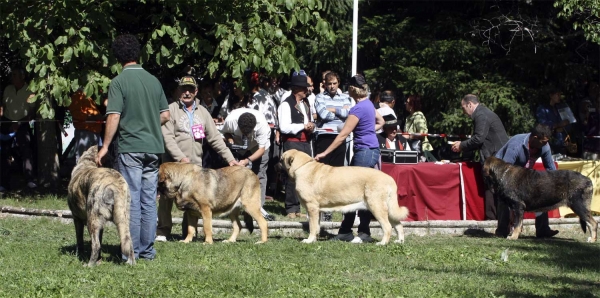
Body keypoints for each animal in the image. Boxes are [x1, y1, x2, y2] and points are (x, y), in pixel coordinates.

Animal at [278, 149, 410, 244]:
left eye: (281, 160)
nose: (275, 163)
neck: (302, 167)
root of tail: (390, 178)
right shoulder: (317, 210)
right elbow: (317, 226)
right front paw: (314, 240)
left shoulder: (312, 207)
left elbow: (312, 226)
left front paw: (309, 240)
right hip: (389, 209)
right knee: (399, 225)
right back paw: (400, 241)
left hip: (376, 206)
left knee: (387, 227)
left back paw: (382, 243)